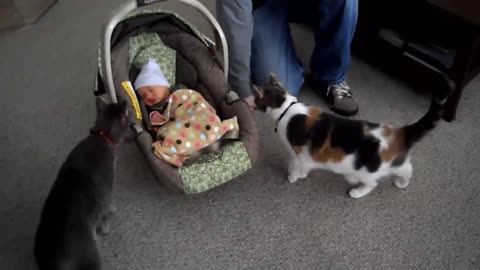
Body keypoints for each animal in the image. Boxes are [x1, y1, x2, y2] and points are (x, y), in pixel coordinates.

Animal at [33, 99, 131, 270]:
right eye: (125, 112)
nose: (125, 101)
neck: (102, 136)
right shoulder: (107, 188)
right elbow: (106, 209)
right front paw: (107, 221)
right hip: (93, 258)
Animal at [255, 74, 454, 198]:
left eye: (256, 99)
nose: (251, 101)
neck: (287, 110)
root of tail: (400, 133)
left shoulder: (299, 154)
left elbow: (298, 166)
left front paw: (294, 176)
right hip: (396, 163)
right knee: (408, 169)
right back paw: (402, 182)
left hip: (363, 171)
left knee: (373, 184)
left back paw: (357, 192)